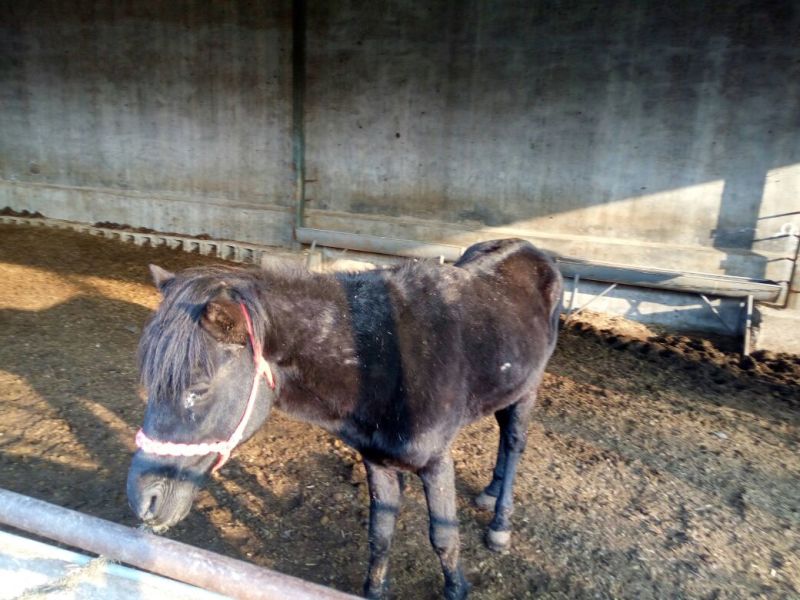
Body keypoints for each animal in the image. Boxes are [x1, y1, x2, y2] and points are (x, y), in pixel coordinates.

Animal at [126, 238, 562, 599]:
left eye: (197, 389)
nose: (142, 500)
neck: (383, 358)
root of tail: (533, 251)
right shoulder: (377, 461)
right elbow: (380, 534)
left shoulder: (436, 463)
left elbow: (444, 536)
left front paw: (457, 589)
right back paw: (489, 492)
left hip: (529, 388)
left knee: (514, 442)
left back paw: (500, 526)